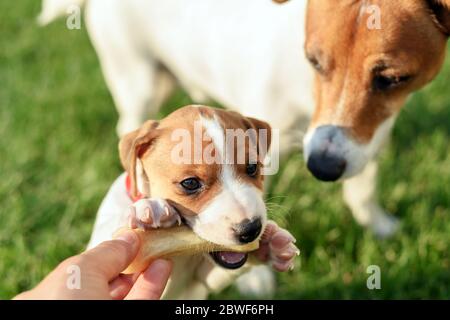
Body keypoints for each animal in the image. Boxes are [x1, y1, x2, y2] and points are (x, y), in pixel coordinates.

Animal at [87, 105, 298, 300]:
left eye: (253, 167)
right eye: (190, 183)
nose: (251, 230)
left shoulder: (202, 281)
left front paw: (272, 245)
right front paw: (149, 210)